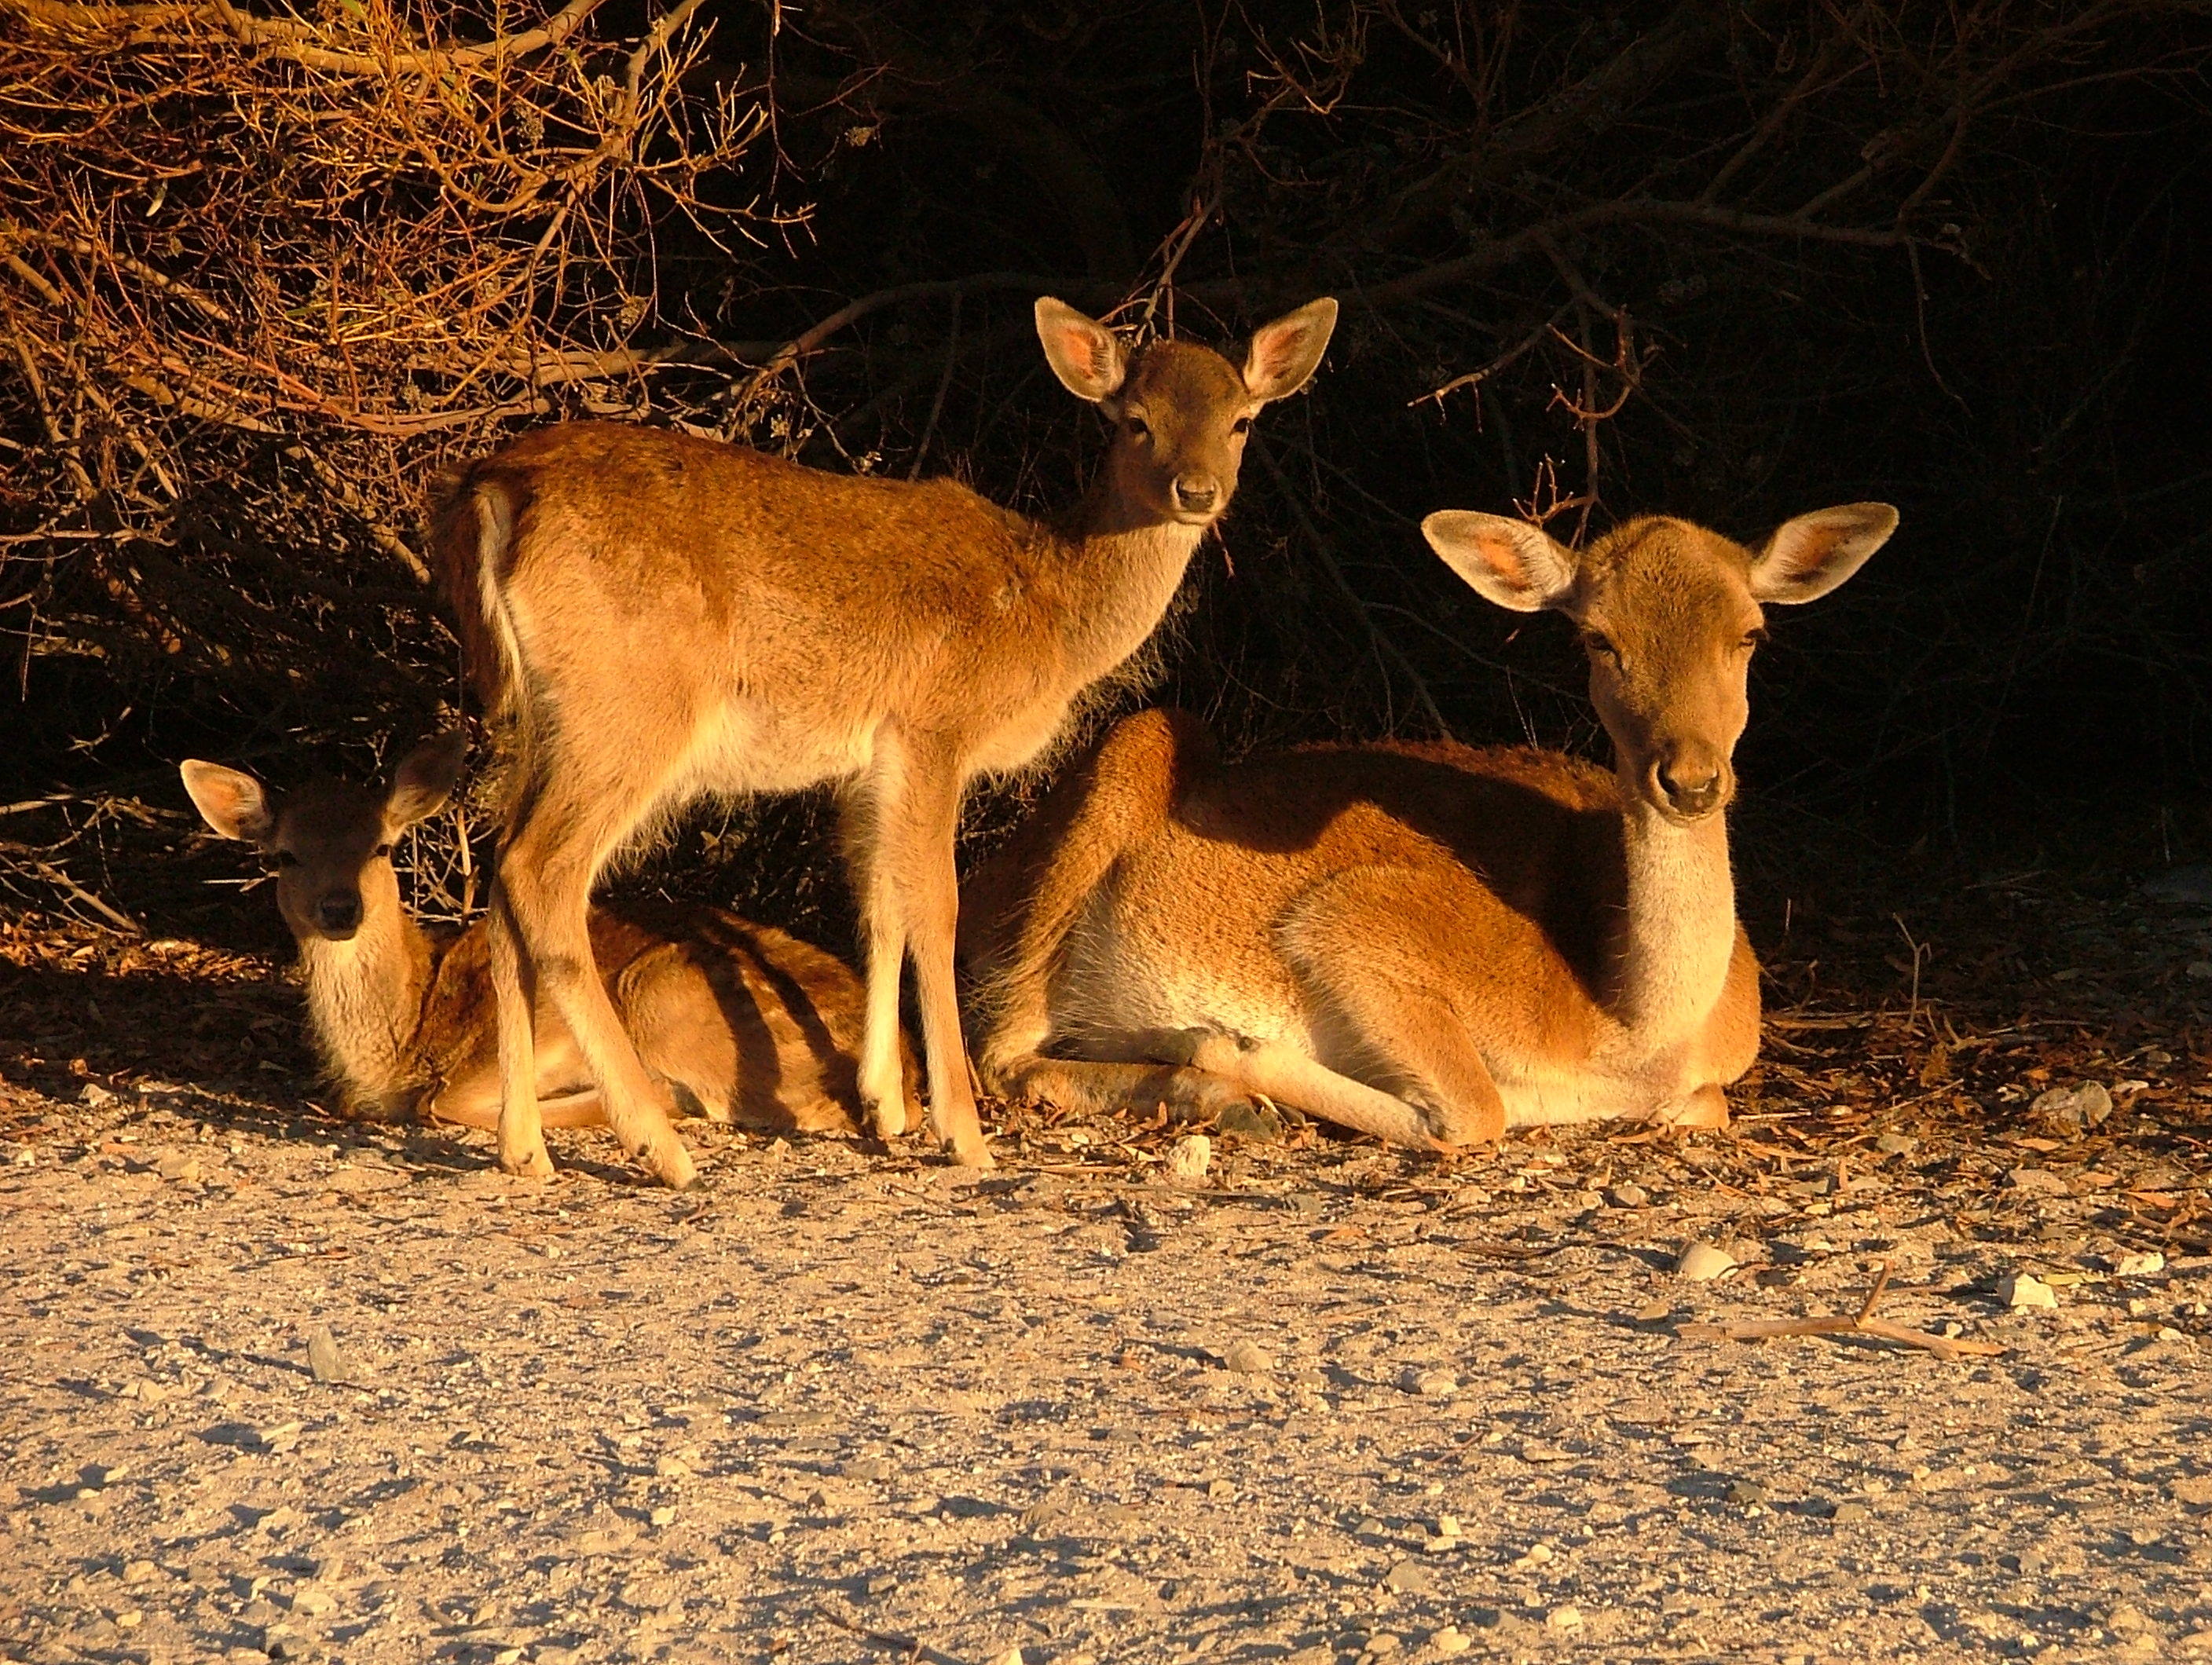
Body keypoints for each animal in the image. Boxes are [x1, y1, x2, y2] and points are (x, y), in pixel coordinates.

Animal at [181, 730, 915, 1140]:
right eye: (285, 855)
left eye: (382, 847)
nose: (340, 908)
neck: (404, 1033)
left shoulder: (545, 1032)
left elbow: (447, 1099)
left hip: (663, 992)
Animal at [427, 298, 1327, 1185]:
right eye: (1135, 420)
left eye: (1241, 420)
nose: (1196, 490)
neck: (1046, 612)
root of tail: (495, 489)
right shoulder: (934, 726)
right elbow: (936, 905)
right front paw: (960, 1131)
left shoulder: (873, 762)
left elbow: (877, 898)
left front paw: (887, 1107)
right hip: (631, 705)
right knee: (541, 871)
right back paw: (659, 1145)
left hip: (542, 715)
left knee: (503, 874)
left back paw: (524, 1147)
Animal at [960, 492, 1893, 1140]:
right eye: (1597, 638)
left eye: (1751, 633)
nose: (1691, 779)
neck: (1629, 1032)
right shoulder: (1359, 920)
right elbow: (1475, 1109)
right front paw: (1230, 1047)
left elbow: (1704, 1105)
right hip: (1111, 784)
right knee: (1002, 1053)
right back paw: (1223, 1094)